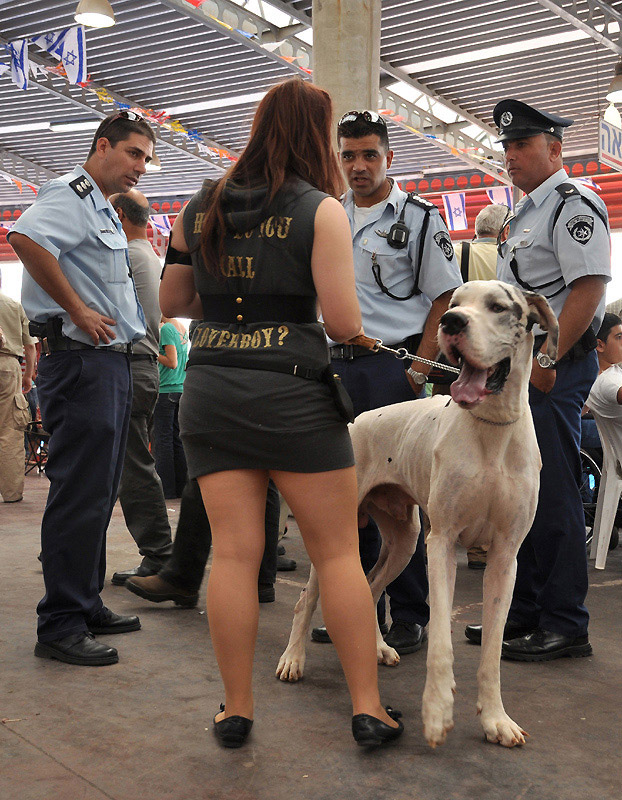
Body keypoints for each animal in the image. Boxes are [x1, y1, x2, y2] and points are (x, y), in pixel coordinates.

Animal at [278, 282, 560, 752]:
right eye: (455, 303)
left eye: (498, 307)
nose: (451, 322)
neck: (492, 427)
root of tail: (356, 420)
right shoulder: (441, 543)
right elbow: (441, 641)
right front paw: (437, 711)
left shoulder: (506, 558)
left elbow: (493, 651)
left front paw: (496, 719)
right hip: (342, 532)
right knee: (306, 599)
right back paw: (293, 658)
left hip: (404, 541)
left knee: (371, 588)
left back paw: (376, 648)